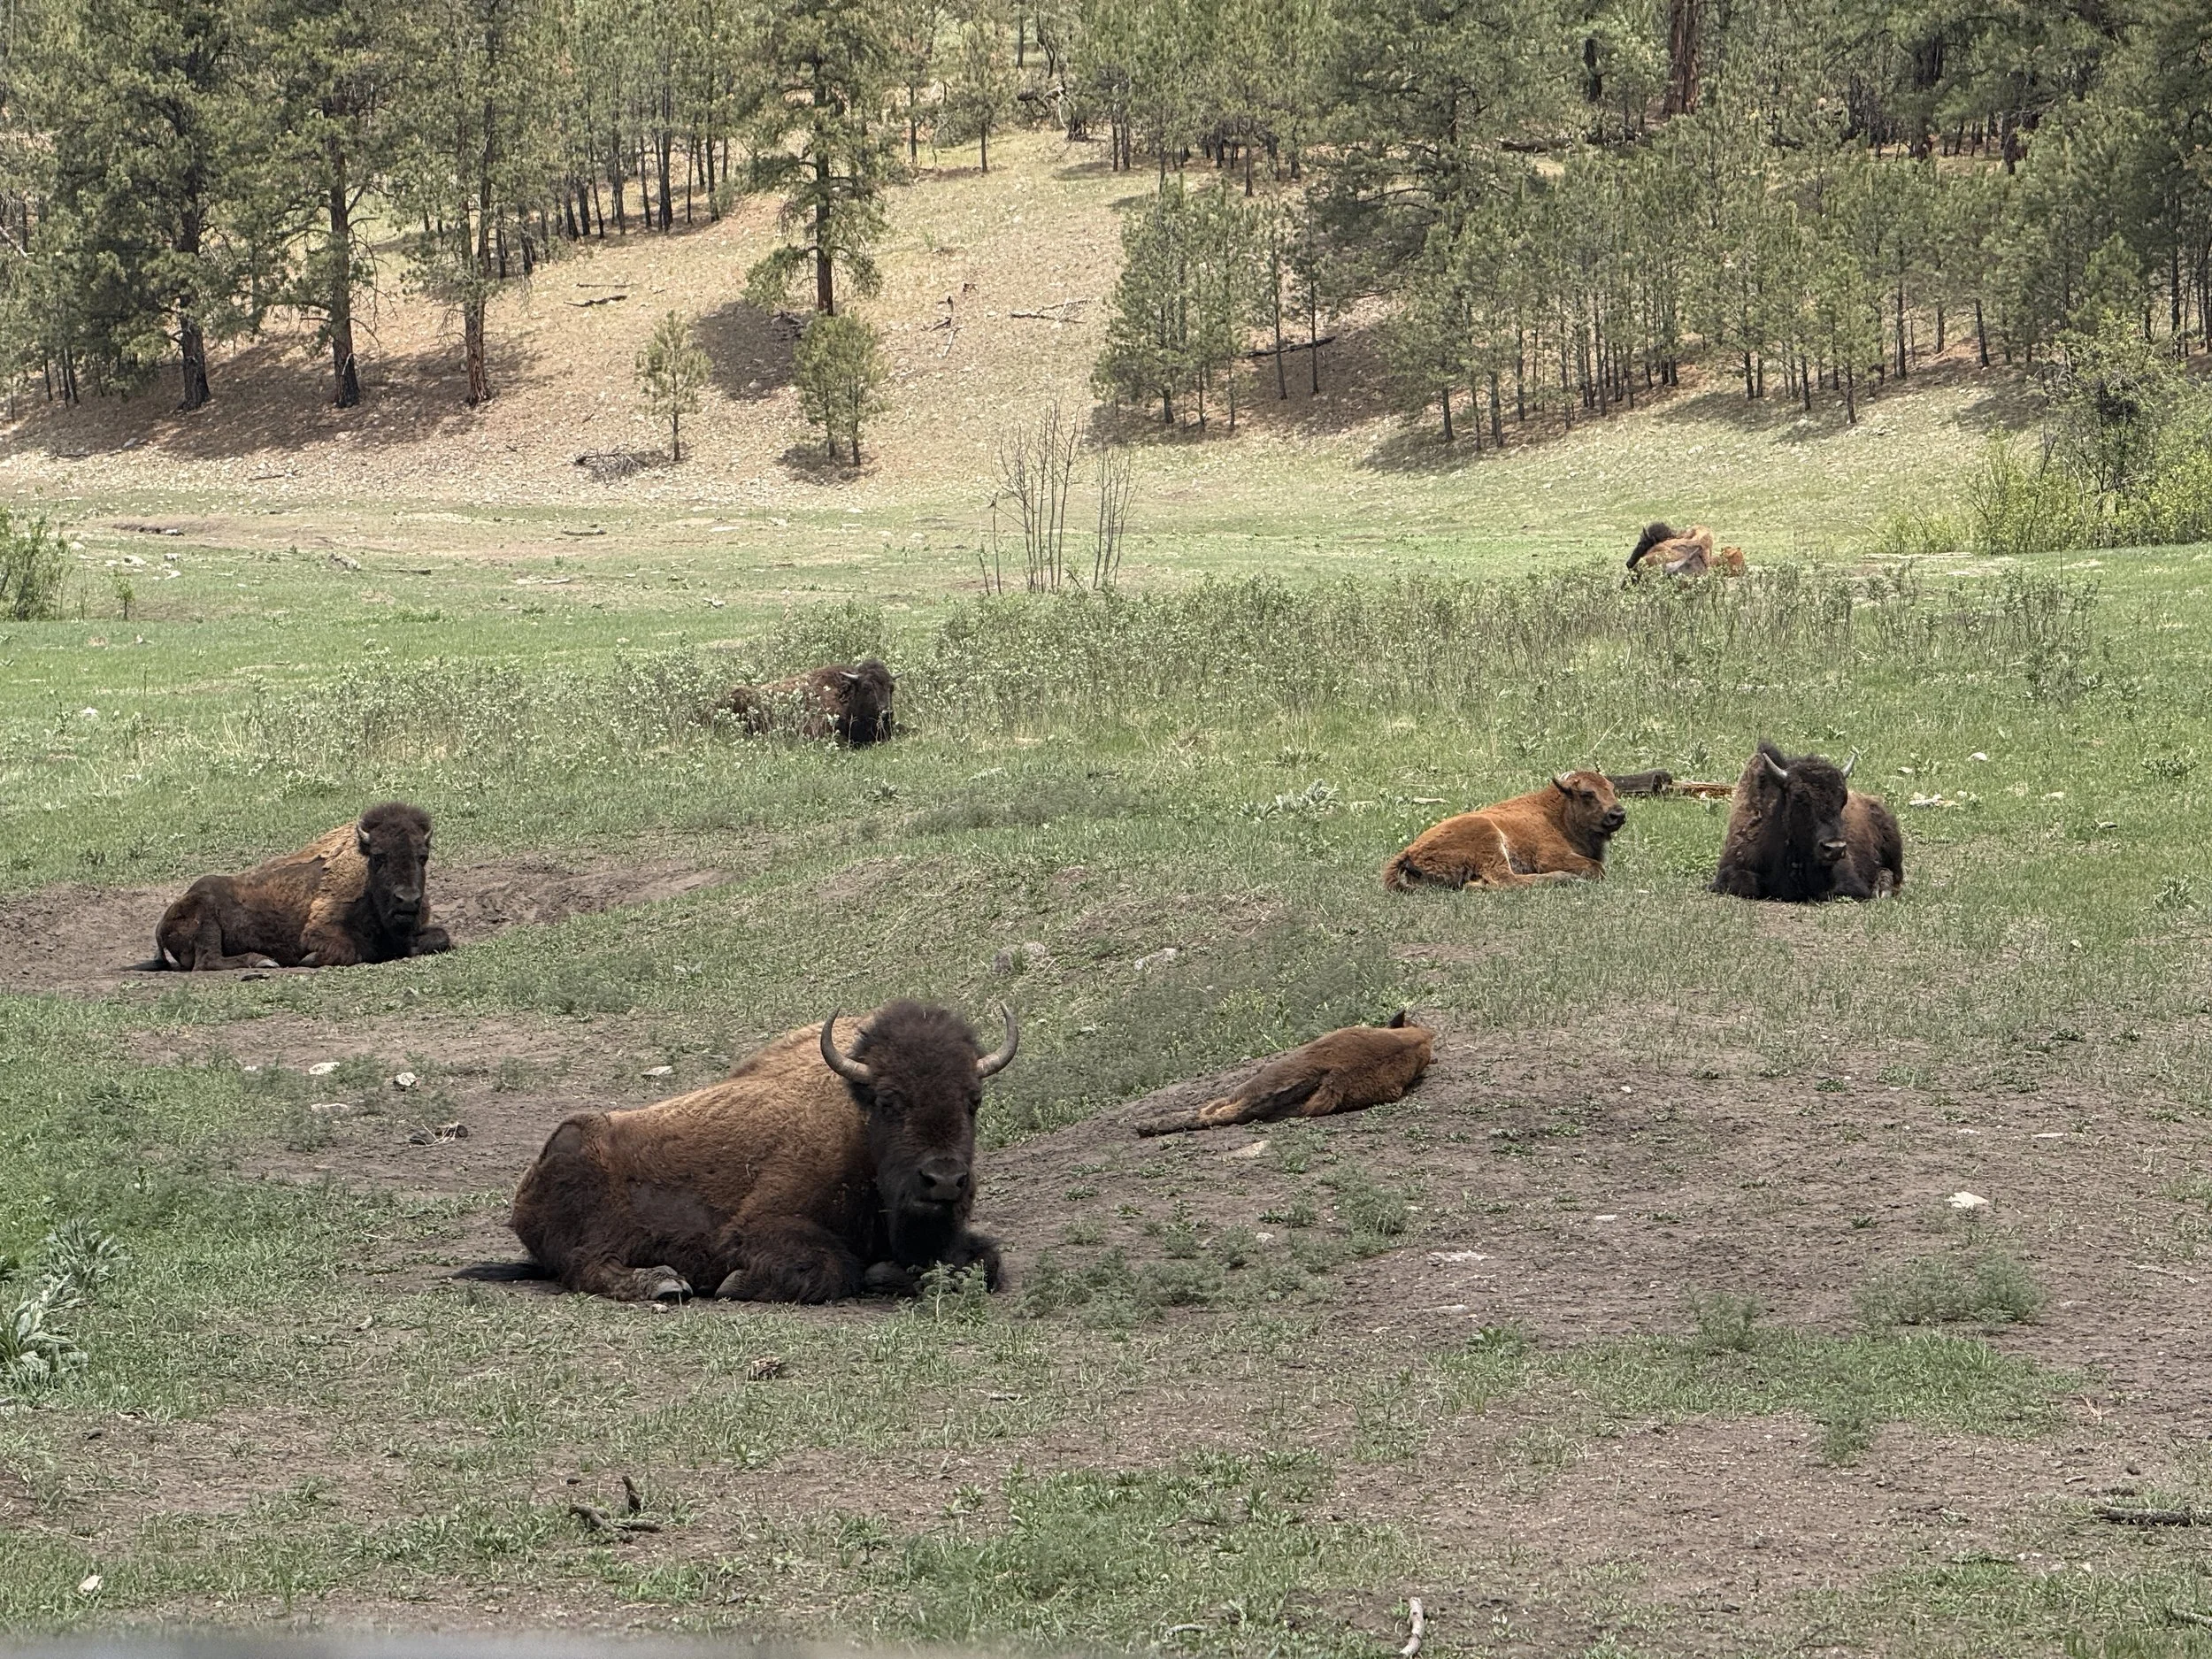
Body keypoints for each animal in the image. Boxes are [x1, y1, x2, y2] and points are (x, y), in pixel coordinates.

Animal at [144, 802, 450, 970]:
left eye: (422, 857)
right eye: (379, 857)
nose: (407, 900)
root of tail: (163, 919)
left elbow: (441, 938)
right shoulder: (320, 931)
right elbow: (353, 950)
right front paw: (309, 959)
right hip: (206, 918)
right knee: (208, 961)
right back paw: (262, 961)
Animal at [510, 1000, 1016, 1303]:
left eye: (974, 1100)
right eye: (889, 1101)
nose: (944, 1180)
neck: (857, 1123)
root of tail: (525, 1192)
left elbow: (986, 1262)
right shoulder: (757, 1226)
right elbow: (834, 1267)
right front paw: (734, 1284)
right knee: (587, 1266)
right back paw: (665, 1283)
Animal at [1384, 770, 1626, 891]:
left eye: (1612, 788)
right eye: (1587, 793)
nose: (1619, 814)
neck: (1557, 814)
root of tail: (1410, 850)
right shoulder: (1549, 857)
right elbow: (1597, 868)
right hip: (1490, 838)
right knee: (1504, 879)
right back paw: (1564, 878)